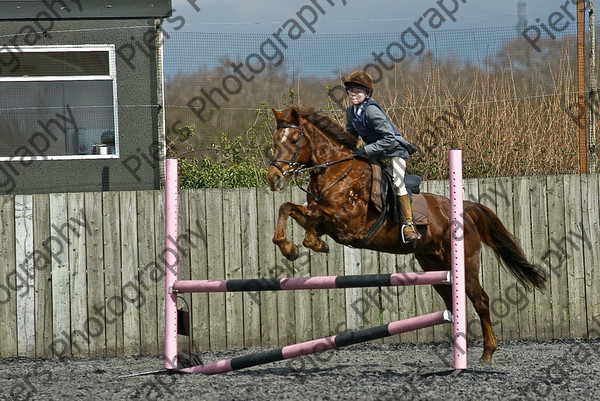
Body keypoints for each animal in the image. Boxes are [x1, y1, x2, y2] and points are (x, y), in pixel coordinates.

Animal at [268, 104, 548, 364]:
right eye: (274, 141)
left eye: (293, 140)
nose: (274, 179)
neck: (336, 171)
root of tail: (464, 210)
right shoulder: (329, 222)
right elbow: (289, 209)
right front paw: (291, 248)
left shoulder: (350, 222)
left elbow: (313, 212)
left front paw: (309, 245)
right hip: (434, 266)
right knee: (452, 302)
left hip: (465, 264)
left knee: (481, 301)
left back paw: (487, 353)